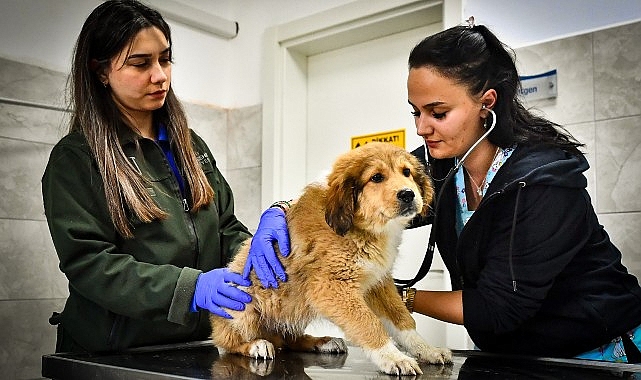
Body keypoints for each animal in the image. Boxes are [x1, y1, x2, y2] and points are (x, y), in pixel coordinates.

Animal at [210, 142, 450, 374]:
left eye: (406, 172)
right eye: (376, 177)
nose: (408, 194)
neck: (360, 226)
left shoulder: (378, 283)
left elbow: (402, 319)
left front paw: (427, 350)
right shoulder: (331, 287)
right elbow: (369, 323)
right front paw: (394, 358)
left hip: (296, 306)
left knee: (289, 338)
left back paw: (323, 342)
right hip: (241, 305)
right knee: (228, 342)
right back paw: (256, 345)